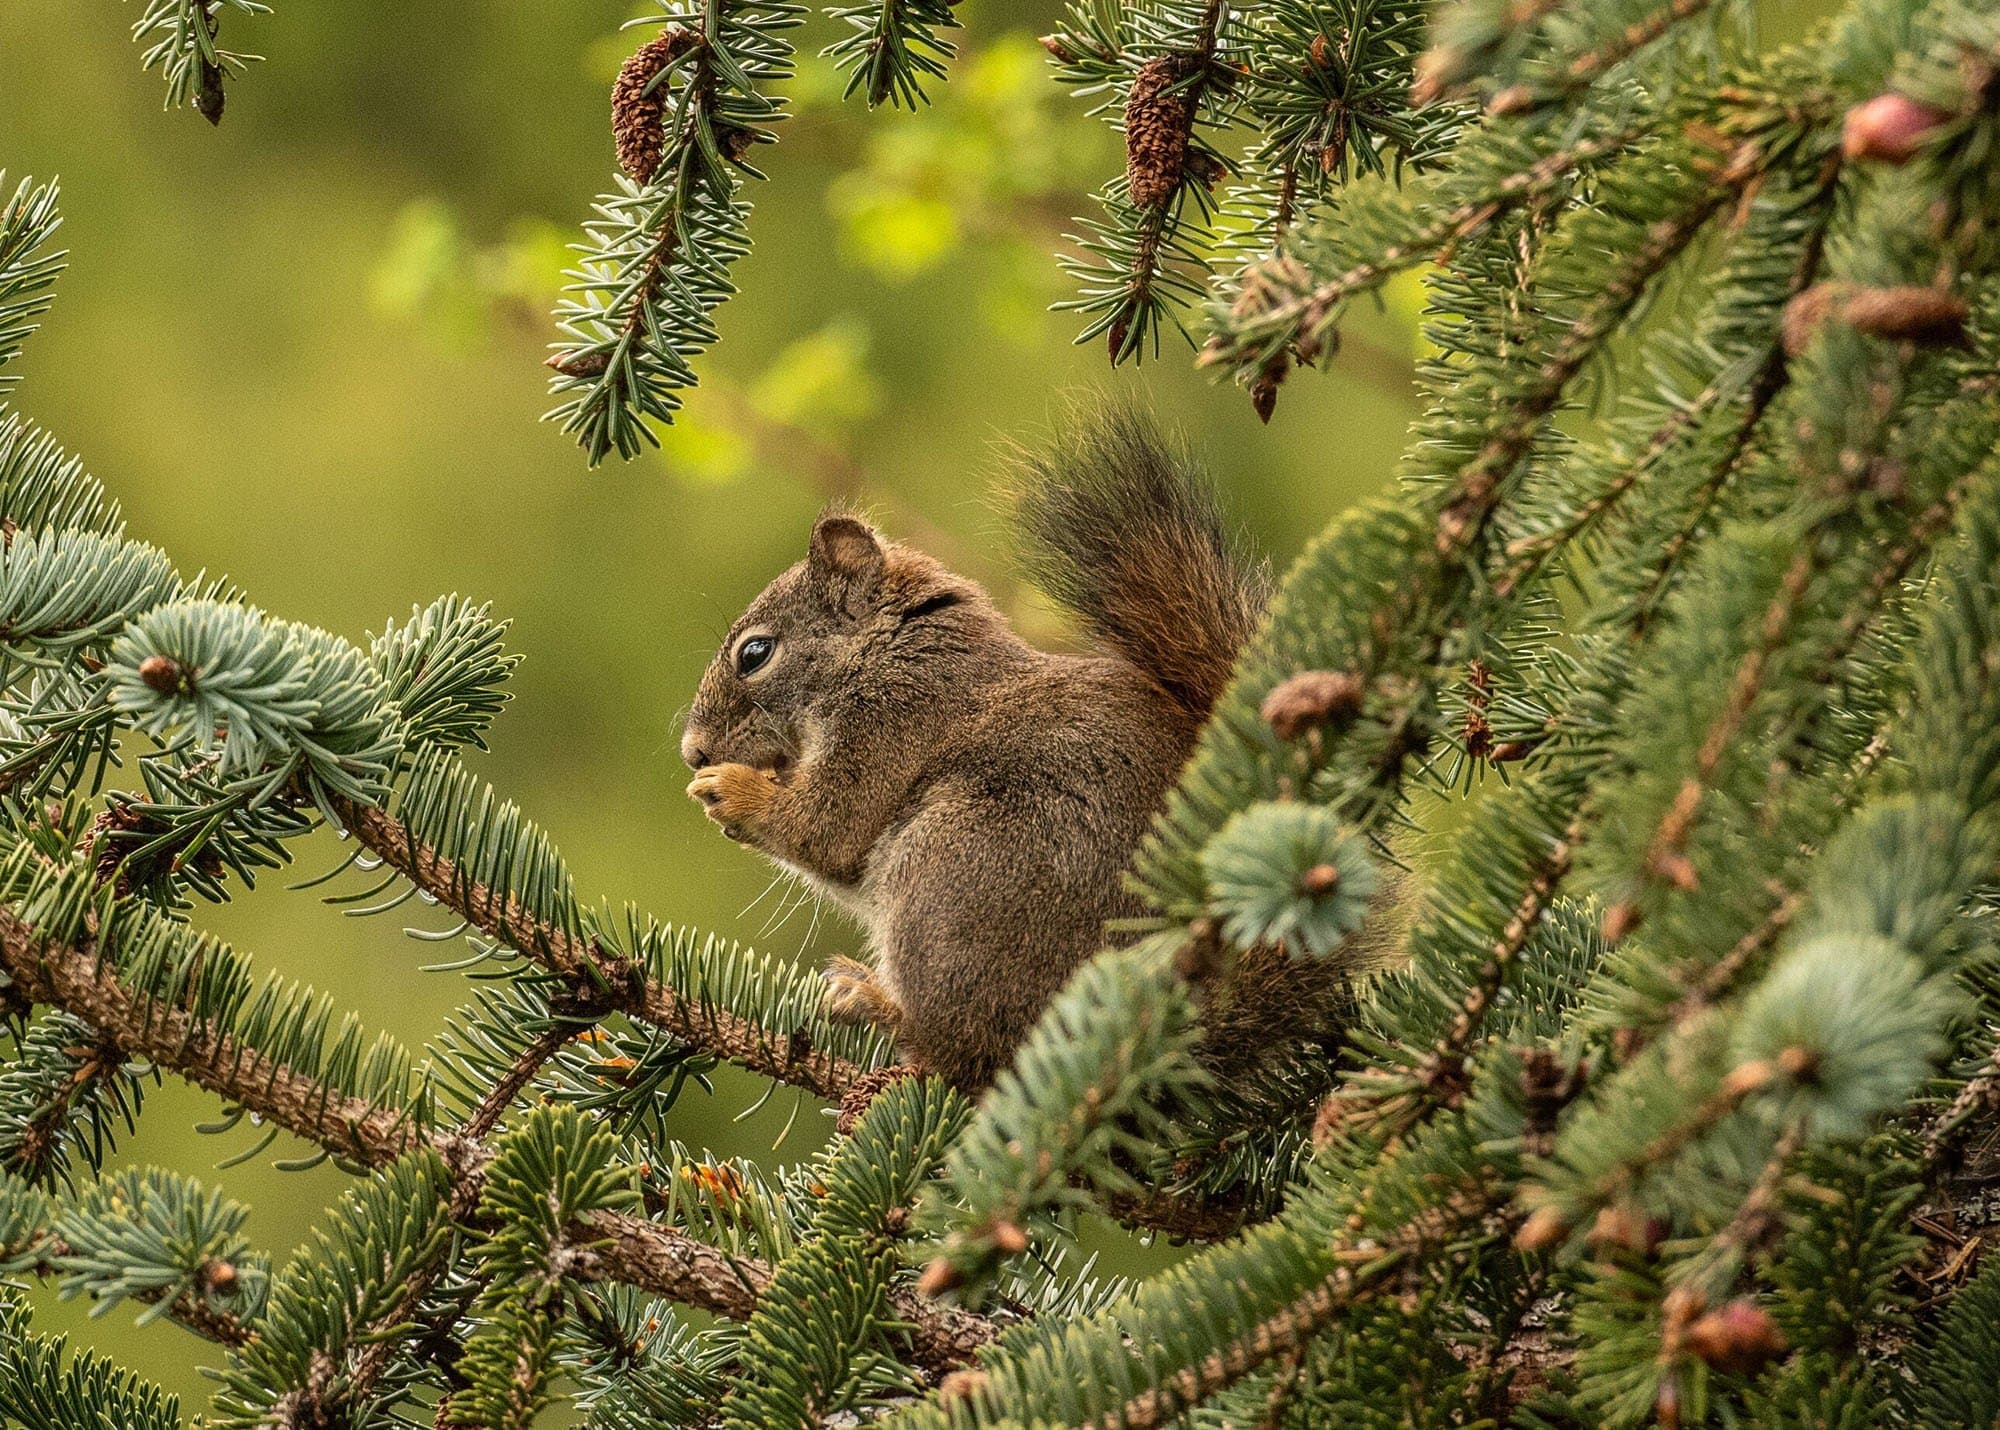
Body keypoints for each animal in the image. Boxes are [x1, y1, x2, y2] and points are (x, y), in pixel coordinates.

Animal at [681, 411, 1364, 1092]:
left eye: (755, 653)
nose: (692, 752)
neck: (884, 652)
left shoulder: (888, 724)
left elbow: (827, 829)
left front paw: (728, 791)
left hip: (951, 875)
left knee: (967, 1055)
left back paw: (874, 1003)